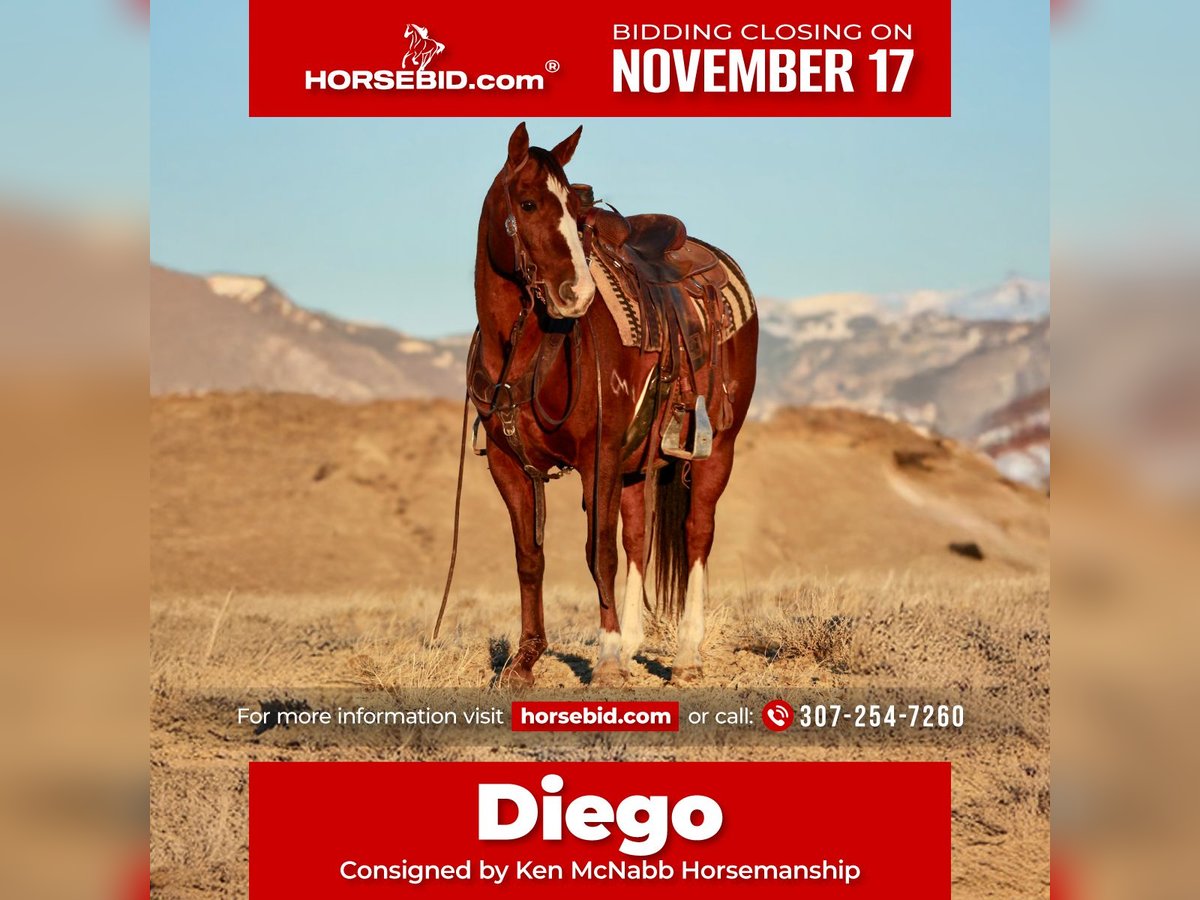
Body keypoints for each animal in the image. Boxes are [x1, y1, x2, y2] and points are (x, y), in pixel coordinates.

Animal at [468, 123, 758, 687]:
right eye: (528, 203)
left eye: (575, 212)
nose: (575, 294)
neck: (529, 350)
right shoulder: (508, 465)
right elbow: (530, 557)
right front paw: (524, 661)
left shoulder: (596, 457)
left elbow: (597, 552)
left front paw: (604, 660)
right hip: (636, 464)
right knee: (639, 538)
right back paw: (632, 645)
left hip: (718, 450)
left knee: (697, 534)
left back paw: (685, 655)